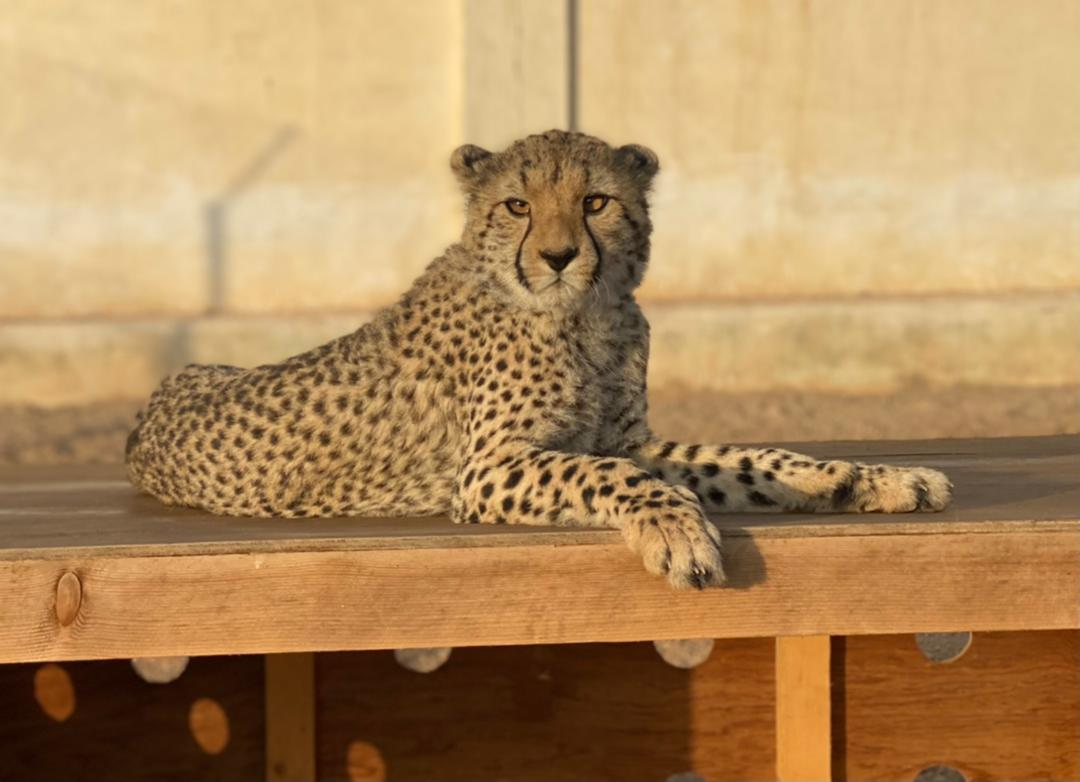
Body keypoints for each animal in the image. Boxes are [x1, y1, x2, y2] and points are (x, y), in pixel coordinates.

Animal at [128, 131, 954, 587]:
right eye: (517, 205)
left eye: (595, 202)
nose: (558, 256)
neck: (588, 315)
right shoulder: (490, 467)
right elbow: (612, 477)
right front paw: (677, 531)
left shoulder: (627, 439)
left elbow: (751, 459)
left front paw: (875, 477)